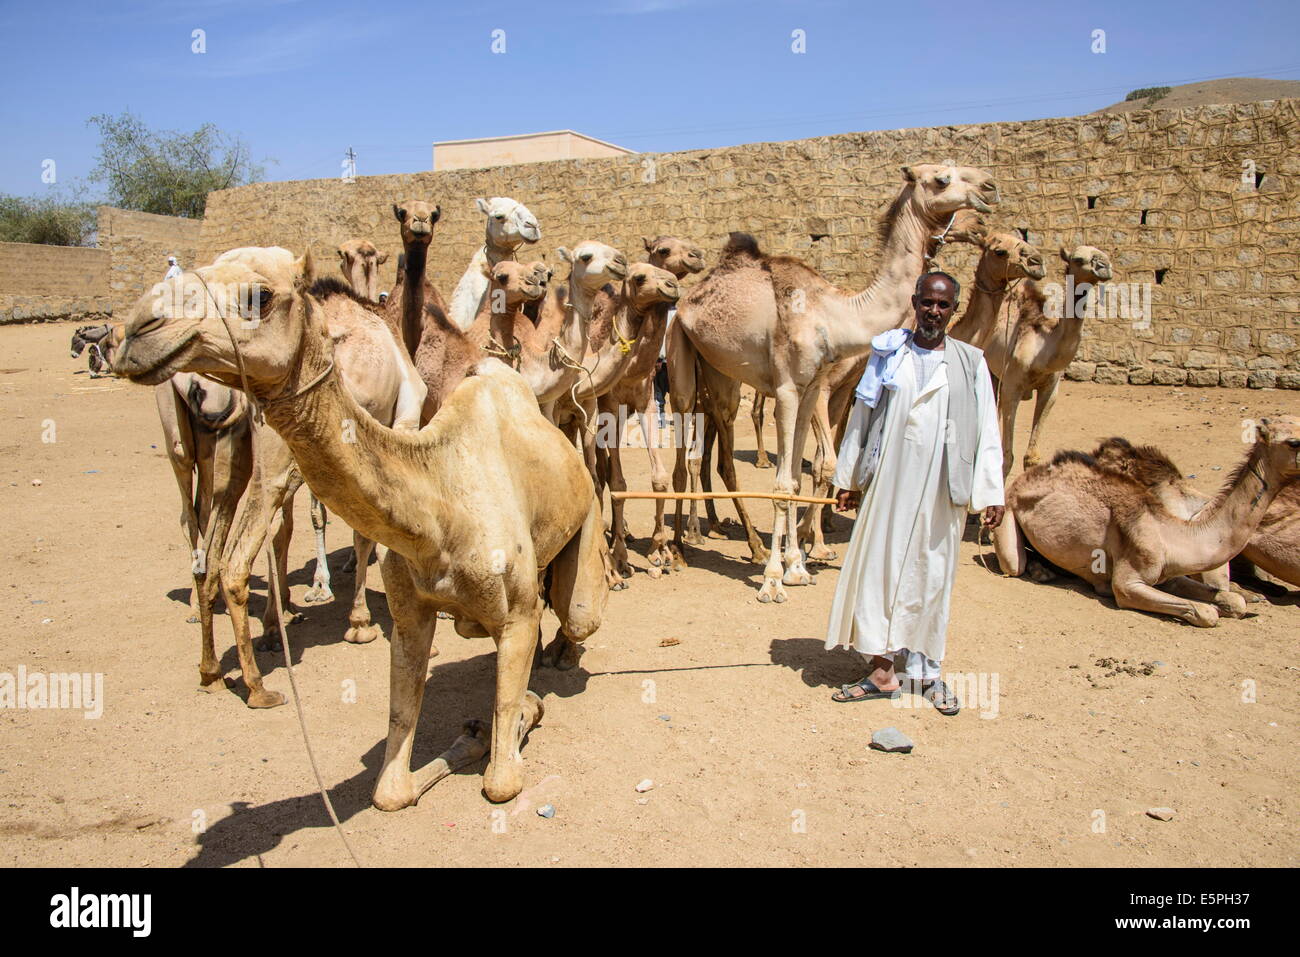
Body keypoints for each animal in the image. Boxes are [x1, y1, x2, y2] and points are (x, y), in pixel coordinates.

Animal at [113, 243, 608, 806]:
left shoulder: (516, 613)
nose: (137, 330)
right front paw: (472, 735)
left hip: (587, 519)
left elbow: (502, 780)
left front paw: (517, 713)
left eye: (259, 296)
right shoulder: (410, 613)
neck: (439, 508)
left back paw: (563, 652)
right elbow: (391, 785)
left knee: (577, 615)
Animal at [993, 413, 1300, 629]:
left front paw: (1243, 598)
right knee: (1015, 562)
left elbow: (1232, 602)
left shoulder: (1170, 575)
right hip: (1009, 514)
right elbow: (1206, 612)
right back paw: (1040, 571)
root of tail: (1023, 481)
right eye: (1293, 441)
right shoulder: (1129, 582)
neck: (1176, 532)